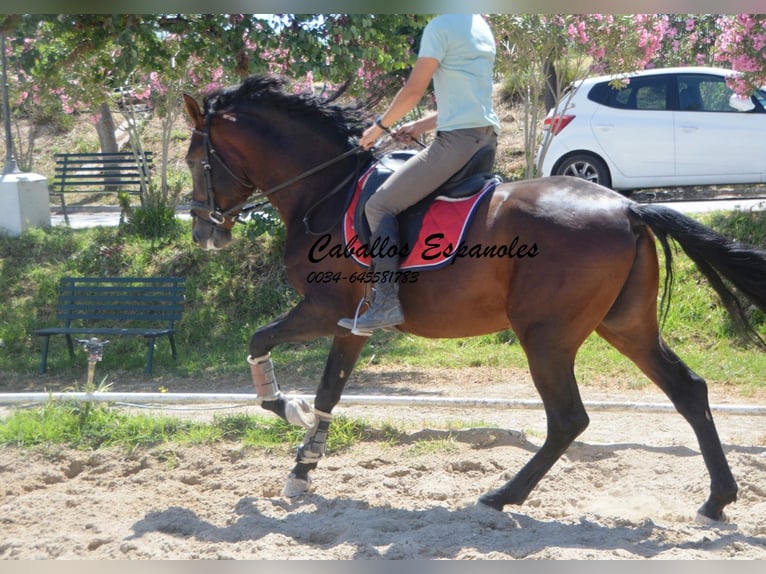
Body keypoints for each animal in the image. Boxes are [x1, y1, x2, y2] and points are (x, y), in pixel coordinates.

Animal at [184, 74, 766, 524]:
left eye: (194, 159)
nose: (203, 232)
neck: (325, 190)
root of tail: (627, 206)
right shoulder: (353, 323)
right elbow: (330, 391)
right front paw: (303, 467)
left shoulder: (325, 311)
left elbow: (261, 342)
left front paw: (290, 410)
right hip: (625, 327)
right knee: (688, 391)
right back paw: (716, 501)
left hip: (546, 336)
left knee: (568, 419)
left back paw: (503, 497)